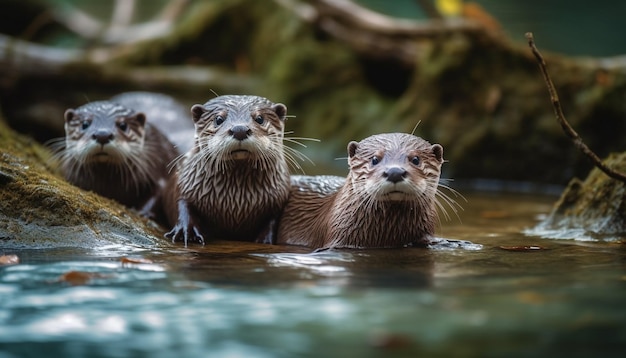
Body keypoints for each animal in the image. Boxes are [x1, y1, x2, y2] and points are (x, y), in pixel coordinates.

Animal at [49, 99, 178, 220]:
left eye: (123, 125)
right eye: (85, 124)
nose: (102, 135)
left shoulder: (157, 163)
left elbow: (161, 191)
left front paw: (142, 213)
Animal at [160, 95, 288, 246]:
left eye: (260, 118)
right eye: (219, 119)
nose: (239, 129)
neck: (235, 199)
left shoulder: (278, 198)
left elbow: (272, 220)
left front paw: (265, 240)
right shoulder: (184, 182)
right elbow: (182, 205)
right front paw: (186, 231)